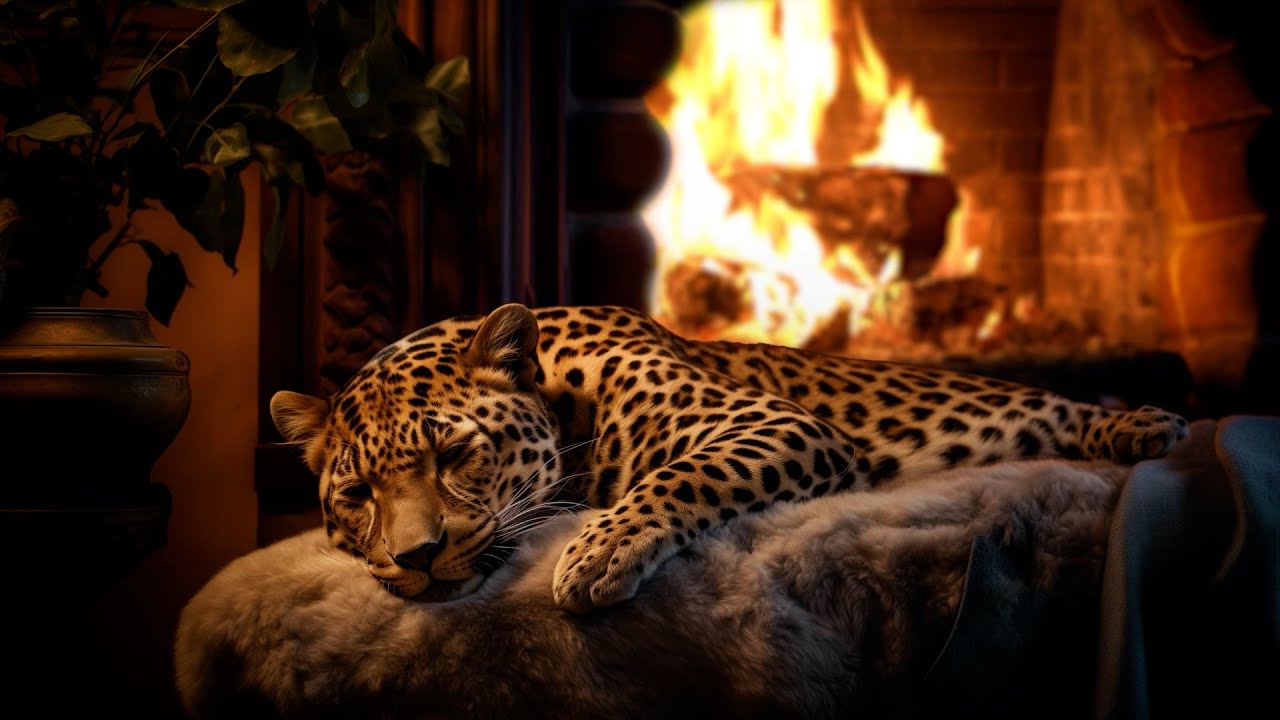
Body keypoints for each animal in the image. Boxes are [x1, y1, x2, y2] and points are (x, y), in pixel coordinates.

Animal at [271, 303, 1188, 613]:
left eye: (455, 451)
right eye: (356, 494)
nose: (416, 557)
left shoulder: (772, 423)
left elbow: (682, 473)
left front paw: (598, 554)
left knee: (1068, 411)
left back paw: (1151, 427)